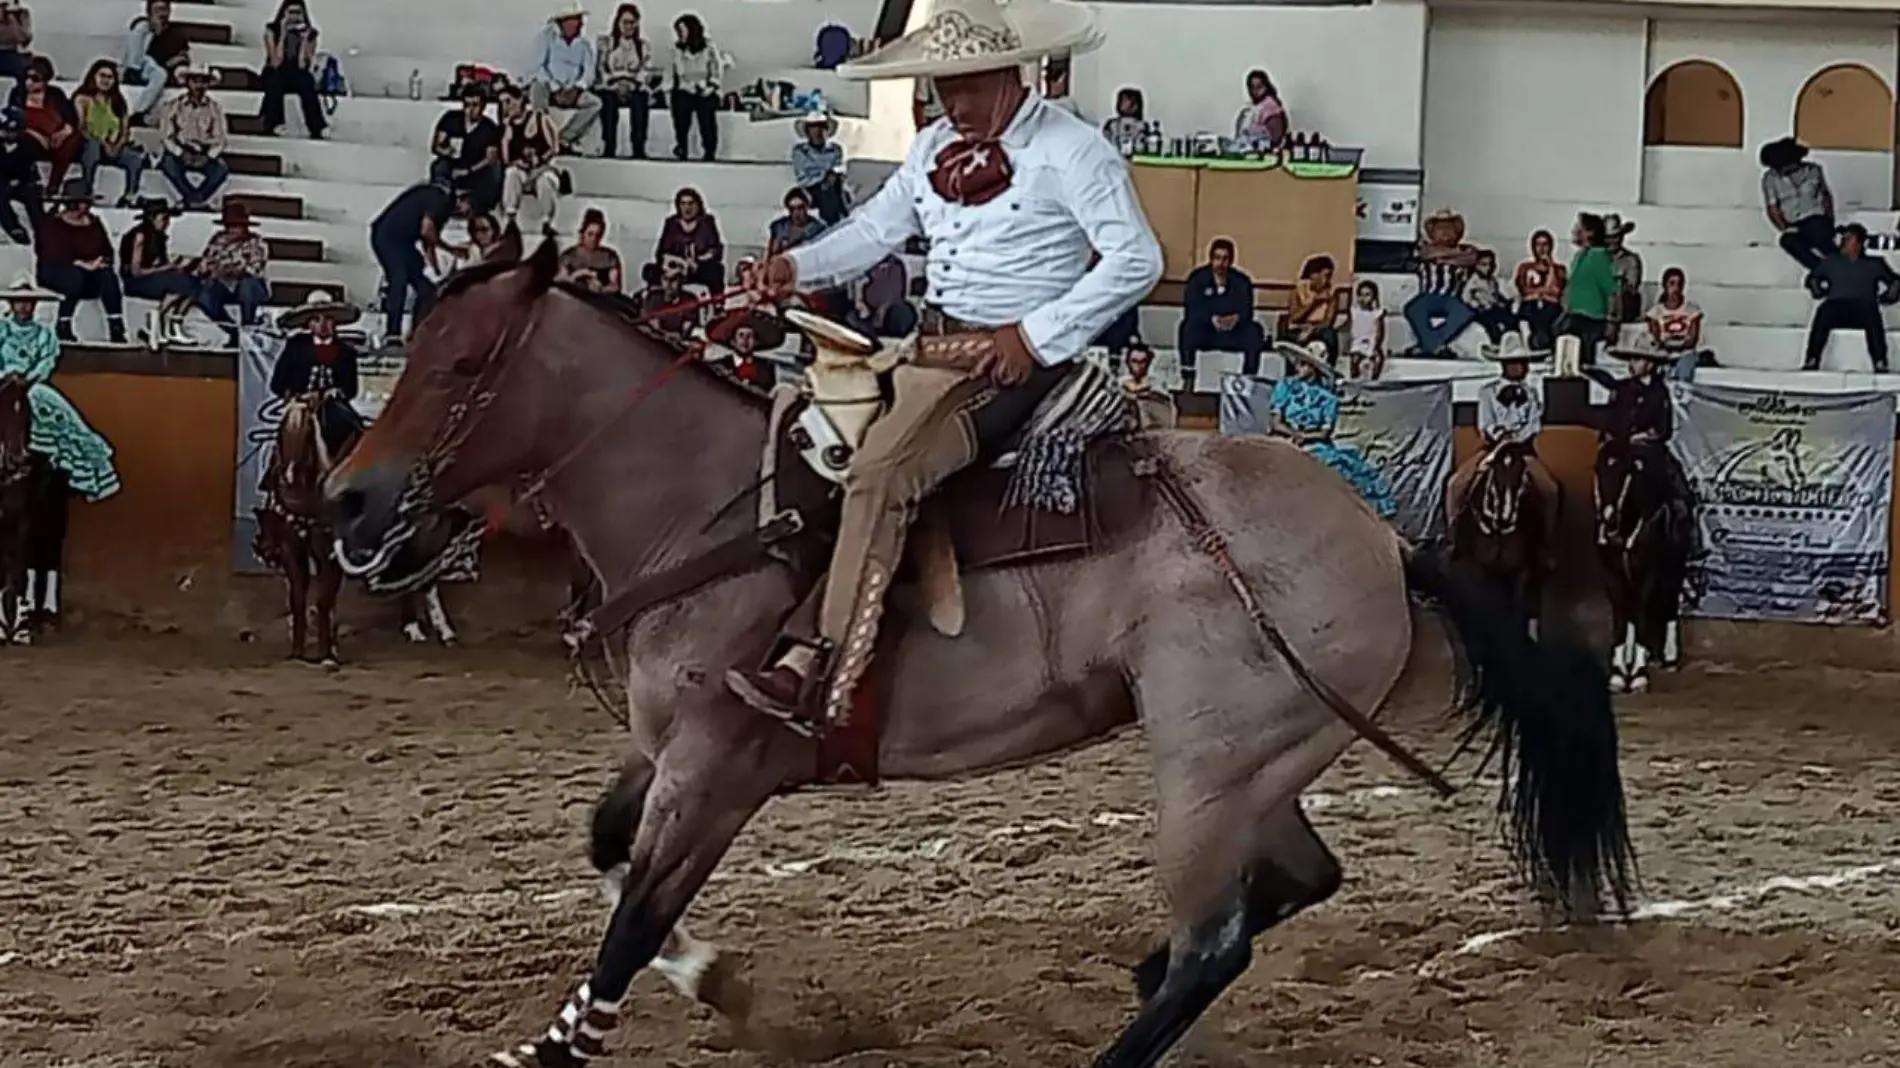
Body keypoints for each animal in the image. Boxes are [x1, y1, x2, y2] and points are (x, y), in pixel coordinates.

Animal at [1588, 433, 1694, 691]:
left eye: (1627, 473)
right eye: (1598, 469)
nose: (1609, 520)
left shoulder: (1649, 574)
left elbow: (1641, 615)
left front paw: (1638, 676)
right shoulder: (1613, 575)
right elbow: (1621, 617)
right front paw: (1618, 674)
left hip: (1673, 570)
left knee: (1668, 605)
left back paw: (1669, 658)